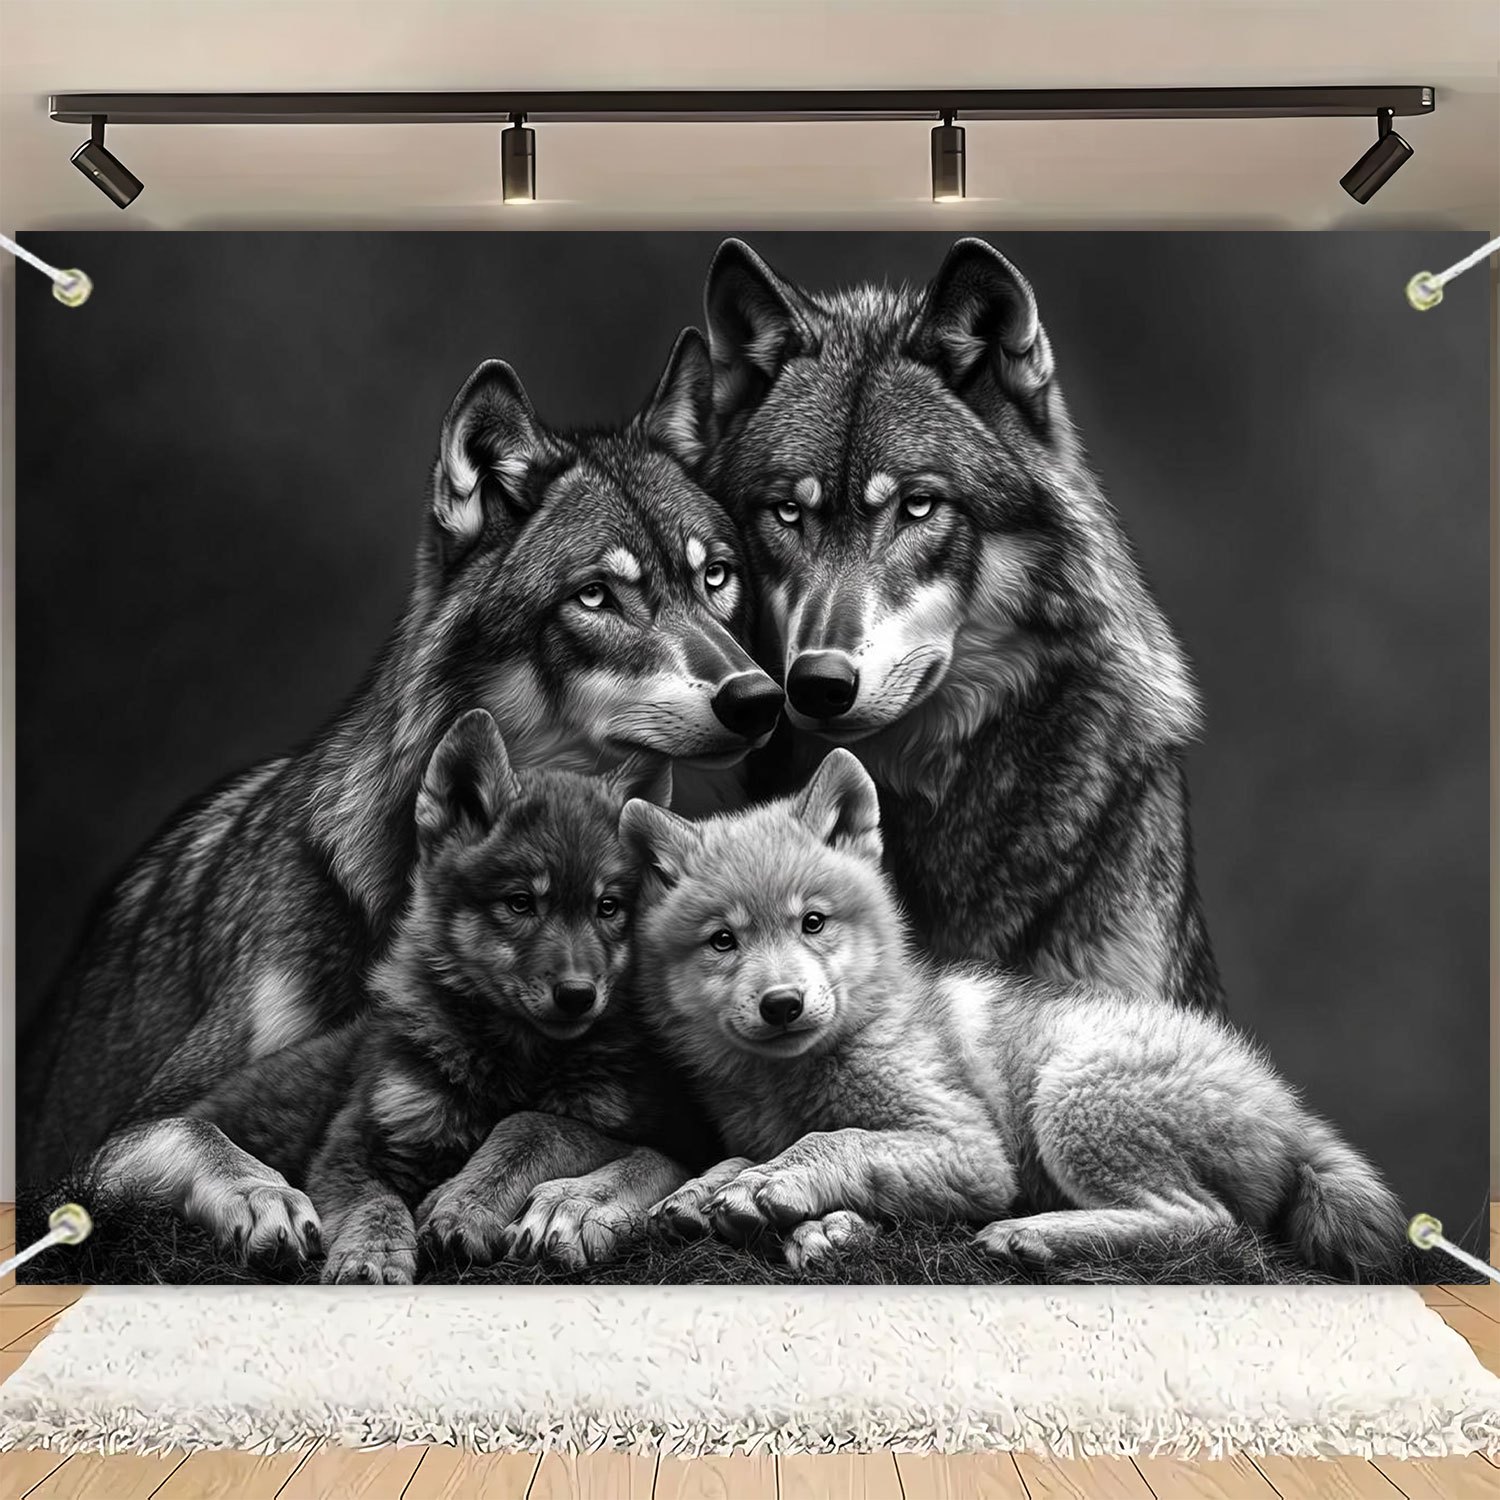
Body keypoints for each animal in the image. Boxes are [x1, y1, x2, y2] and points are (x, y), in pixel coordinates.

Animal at [176, 709, 710, 1280]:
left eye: (607, 907)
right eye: (520, 903)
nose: (577, 995)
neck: (514, 1065)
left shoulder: (650, 1132)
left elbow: (533, 1126)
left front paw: (462, 1204)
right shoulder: (349, 1149)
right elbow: (378, 1204)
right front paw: (372, 1257)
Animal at [622, 750, 1405, 1281]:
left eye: (812, 923)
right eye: (724, 941)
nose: (782, 1005)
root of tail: (1288, 1110)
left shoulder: (972, 1151)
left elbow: (835, 1141)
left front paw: (775, 1188)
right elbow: (741, 1156)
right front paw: (711, 1192)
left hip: (1073, 1096)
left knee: (1209, 1225)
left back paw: (1034, 1235)